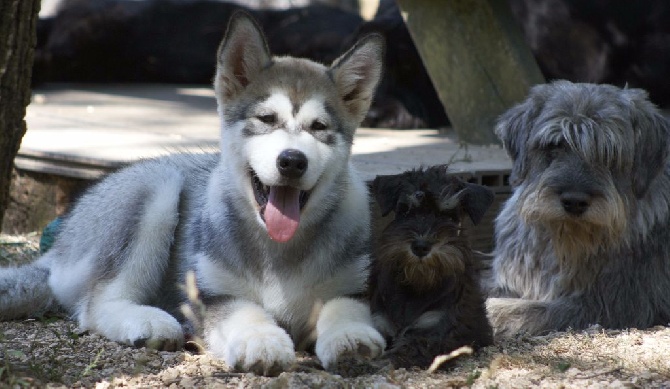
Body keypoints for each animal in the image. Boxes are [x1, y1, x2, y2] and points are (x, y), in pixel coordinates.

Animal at [0, 12, 386, 374]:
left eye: (319, 127)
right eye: (266, 119)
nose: (292, 161)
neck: (281, 250)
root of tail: (59, 246)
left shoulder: (353, 287)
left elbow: (342, 307)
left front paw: (350, 337)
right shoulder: (216, 297)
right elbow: (246, 313)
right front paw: (260, 340)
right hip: (156, 187)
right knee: (94, 306)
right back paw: (149, 322)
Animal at [370, 166, 496, 366]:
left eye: (449, 216)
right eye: (405, 210)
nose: (421, 246)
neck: (416, 284)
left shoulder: (435, 329)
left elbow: (406, 349)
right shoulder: (379, 322)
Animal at [486, 79, 670, 336]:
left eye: (609, 152)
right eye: (553, 145)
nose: (574, 201)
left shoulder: (608, 304)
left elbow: (529, 310)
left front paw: (492, 312)